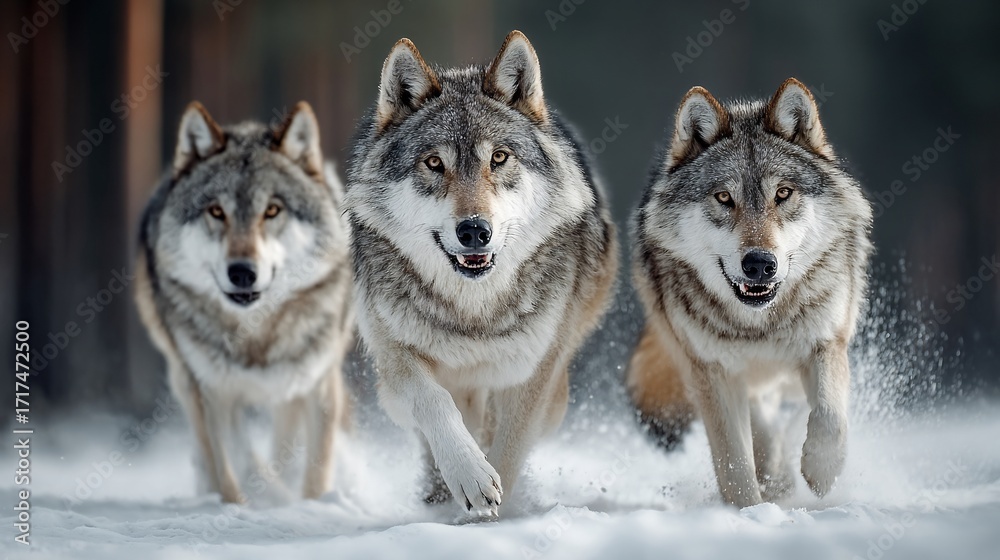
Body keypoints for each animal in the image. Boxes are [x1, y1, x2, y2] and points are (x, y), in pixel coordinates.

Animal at [135, 101, 354, 503]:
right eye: (216, 212)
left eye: (272, 210)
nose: (241, 272)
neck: (256, 337)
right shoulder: (212, 392)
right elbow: (228, 471)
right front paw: (235, 505)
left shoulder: (317, 384)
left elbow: (316, 472)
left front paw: (312, 505)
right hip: (185, 378)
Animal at [345, 31, 618, 516]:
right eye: (435, 163)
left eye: (500, 158)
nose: (474, 230)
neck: (472, 312)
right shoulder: (394, 356)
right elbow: (433, 402)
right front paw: (468, 477)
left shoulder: (534, 373)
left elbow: (509, 447)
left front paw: (494, 511)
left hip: (554, 394)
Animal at [629, 78, 872, 506]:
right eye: (724, 197)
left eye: (783, 194)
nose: (759, 264)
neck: (759, 325)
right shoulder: (712, 372)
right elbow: (733, 463)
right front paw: (747, 511)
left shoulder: (826, 342)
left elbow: (829, 416)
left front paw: (821, 472)